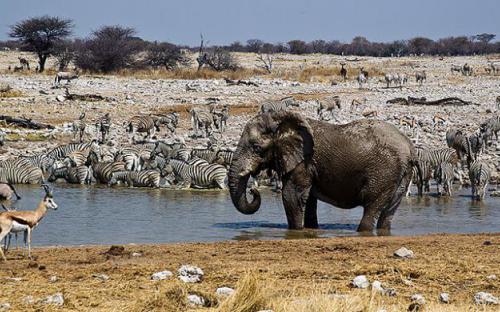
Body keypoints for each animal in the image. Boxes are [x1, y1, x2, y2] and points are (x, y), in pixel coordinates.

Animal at [230, 111, 418, 233]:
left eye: (256, 147)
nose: (253, 190)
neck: (282, 122)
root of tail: (409, 146)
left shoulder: (303, 162)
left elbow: (291, 196)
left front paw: (296, 231)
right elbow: (309, 201)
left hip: (385, 172)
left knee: (371, 206)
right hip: (401, 174)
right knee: (389, 211)